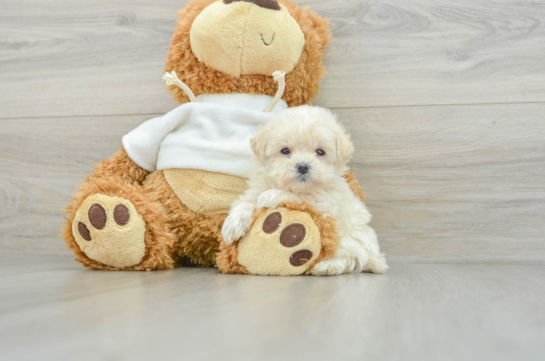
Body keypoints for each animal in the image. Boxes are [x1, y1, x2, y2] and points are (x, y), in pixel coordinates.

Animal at [221, 105, 386, 274]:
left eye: (320, 152)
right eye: (285, 150)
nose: (303, 166)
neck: (297, 187)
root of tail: (375, 256)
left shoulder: (323, 203)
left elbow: (300, 197)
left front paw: (270, 195)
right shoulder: (255, 189)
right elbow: (245, 202)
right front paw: (232, 225)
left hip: (351, 241)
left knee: (349, 259)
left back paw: (326, 267)